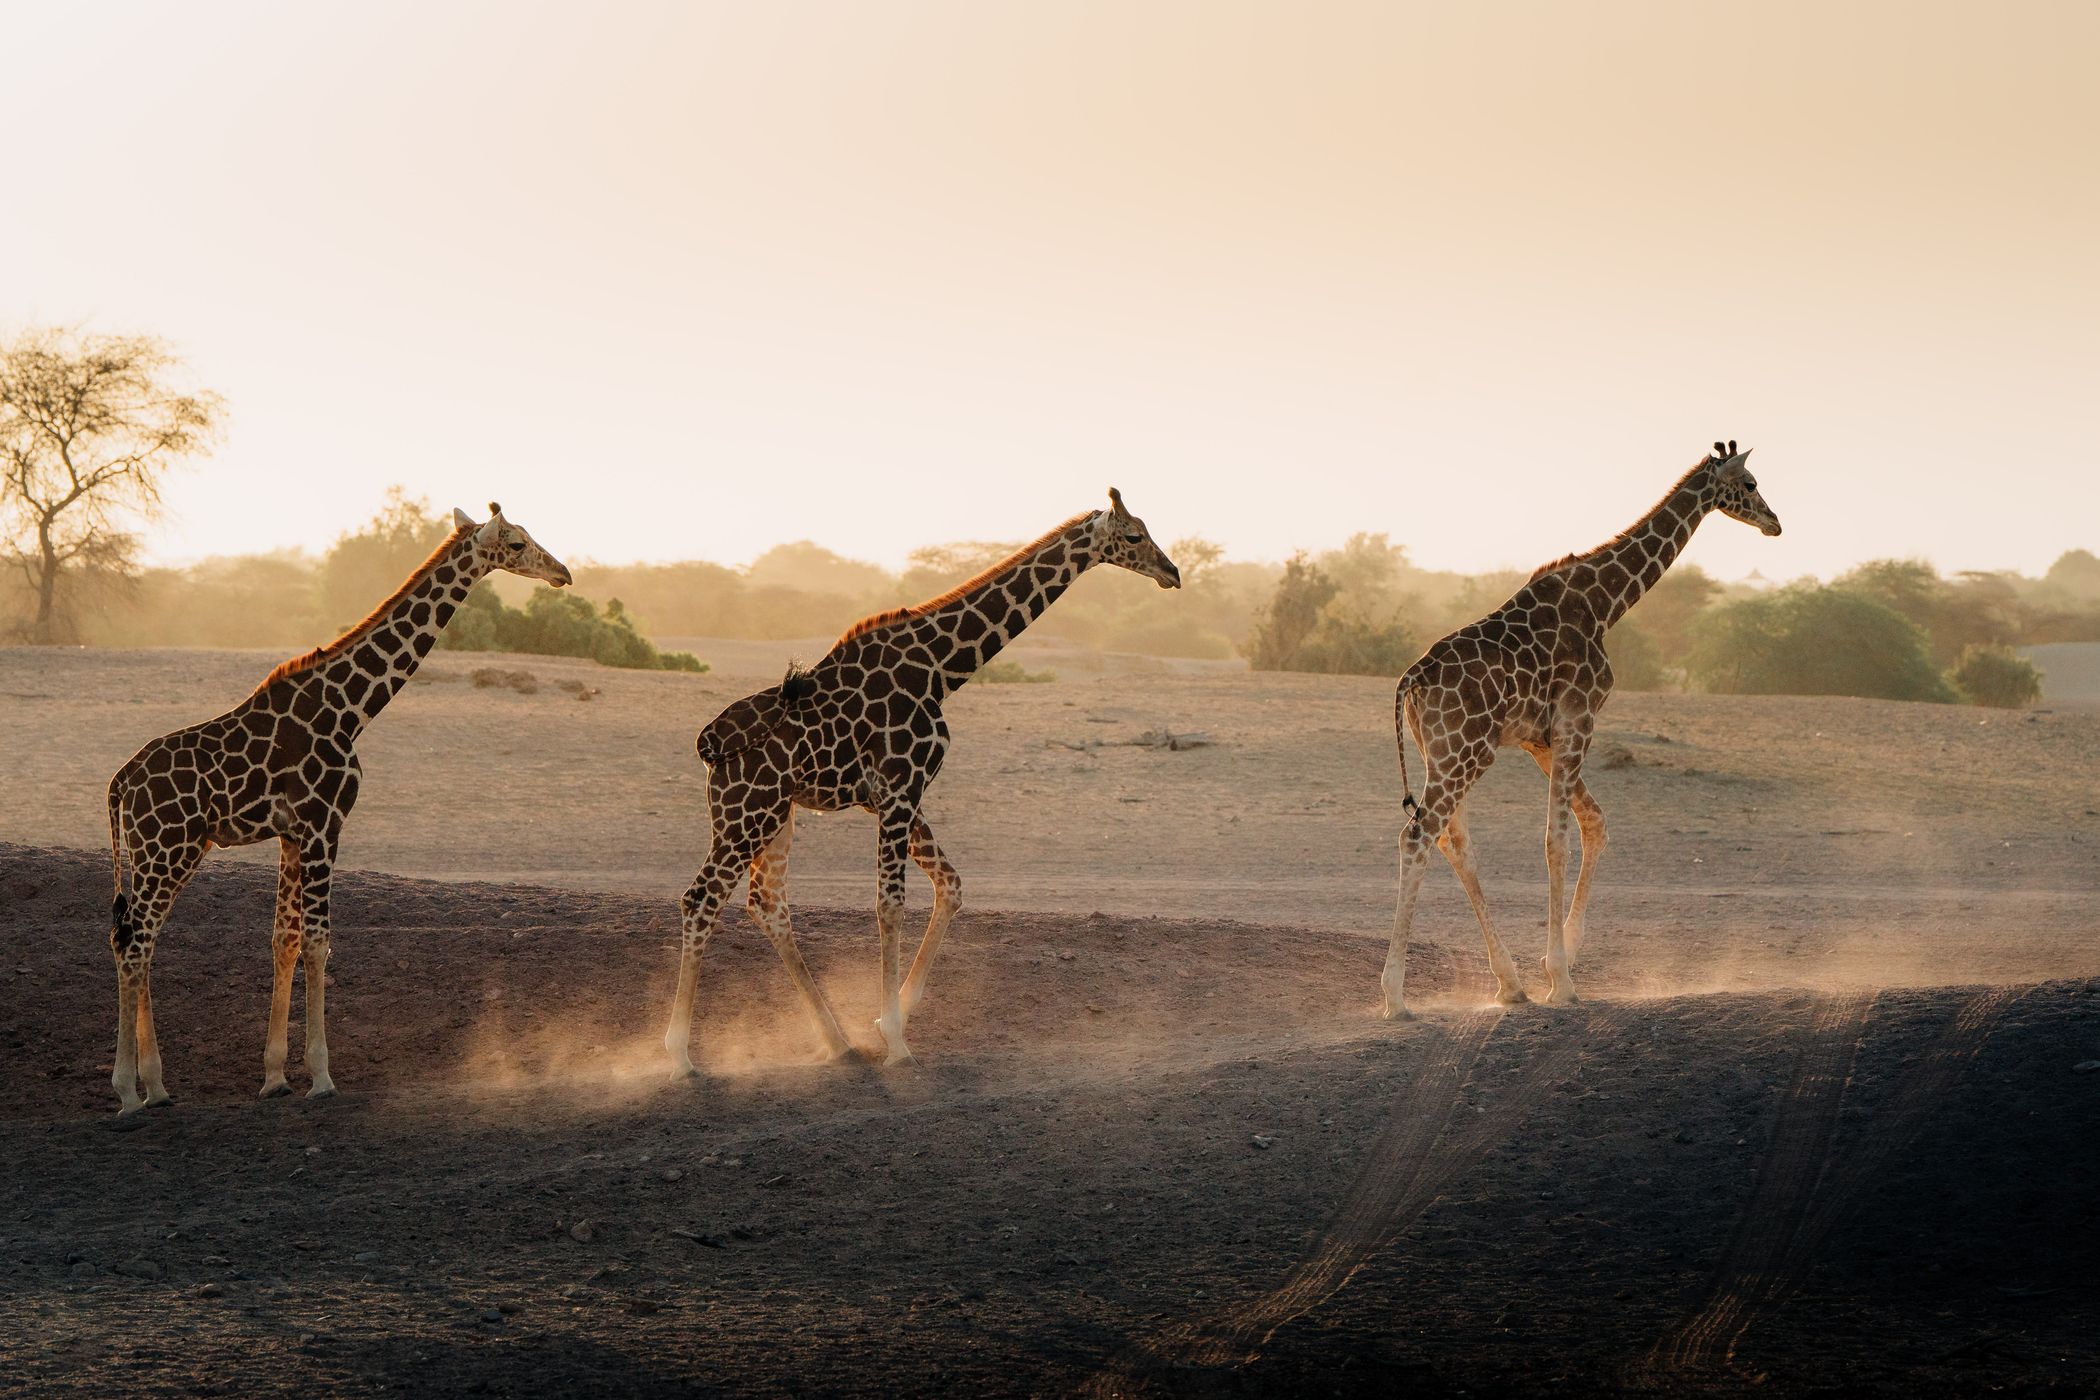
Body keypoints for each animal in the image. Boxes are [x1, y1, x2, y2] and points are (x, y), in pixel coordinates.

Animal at [102, 504, 571, 1113]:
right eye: (516, 543)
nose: (563, 573)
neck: (351, 709)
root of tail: (119, 784)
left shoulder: (291, 833)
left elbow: (284, 940)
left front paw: (275, 1077)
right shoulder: (325, 823)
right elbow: (319, 943)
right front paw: (322, 1077)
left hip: (162, 852)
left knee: (137, 940)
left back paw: (155, 1087)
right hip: (168, 849)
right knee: (135, 943)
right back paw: (129, 1092)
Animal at [665, 488, 1182, 1075]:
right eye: (1135, 535)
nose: (1172, 573)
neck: (941, 668)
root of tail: (707, 746)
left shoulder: (896, 794)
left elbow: (950, 887)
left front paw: (888, 1021)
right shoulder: (899, 784)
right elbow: (890, 904)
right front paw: (895, 1041)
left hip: (777, 814)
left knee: (767, 905)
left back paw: (837, 1041)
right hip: (745, 813)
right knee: (701, 900)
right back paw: (678, 1055)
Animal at [1381, 442, 1781, 1018]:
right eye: (1749, 483)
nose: (1775, 522)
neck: (1604, 604)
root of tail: (1411, 680)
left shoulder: (1541, 738)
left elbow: (1594, 824)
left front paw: (1562, 961)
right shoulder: (1578, 718)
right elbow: (1558, 841)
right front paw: (1562, 979)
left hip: (1444, 753)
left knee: (1453, 843)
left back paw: (1509, 984)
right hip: (1466, 751)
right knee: (1417, 836)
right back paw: (1395, 996)